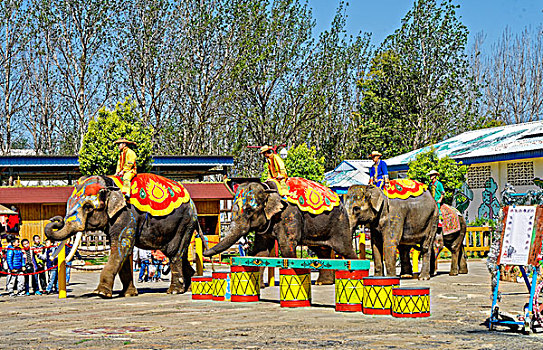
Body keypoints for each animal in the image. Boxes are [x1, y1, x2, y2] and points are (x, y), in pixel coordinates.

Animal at [45, 175, 204, 298]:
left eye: (88, 207)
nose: (56, 220)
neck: (110, 184)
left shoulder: (126, 214)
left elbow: (121, 247)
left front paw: (100, 293)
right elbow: (125, 253)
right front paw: (128, 294)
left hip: (185, 222)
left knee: (174, 252)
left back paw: (174, 291)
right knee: (179, 253)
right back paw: (190, 287)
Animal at [203, 178, 356, 284]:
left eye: (249, 210)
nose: (205, 253)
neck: (268, 189)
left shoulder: (289, 215)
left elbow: (286, 247)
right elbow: (261, 251)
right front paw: (260, 286)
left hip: (340, 222)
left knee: (344, 249)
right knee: (321, 250)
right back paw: (322, 283)